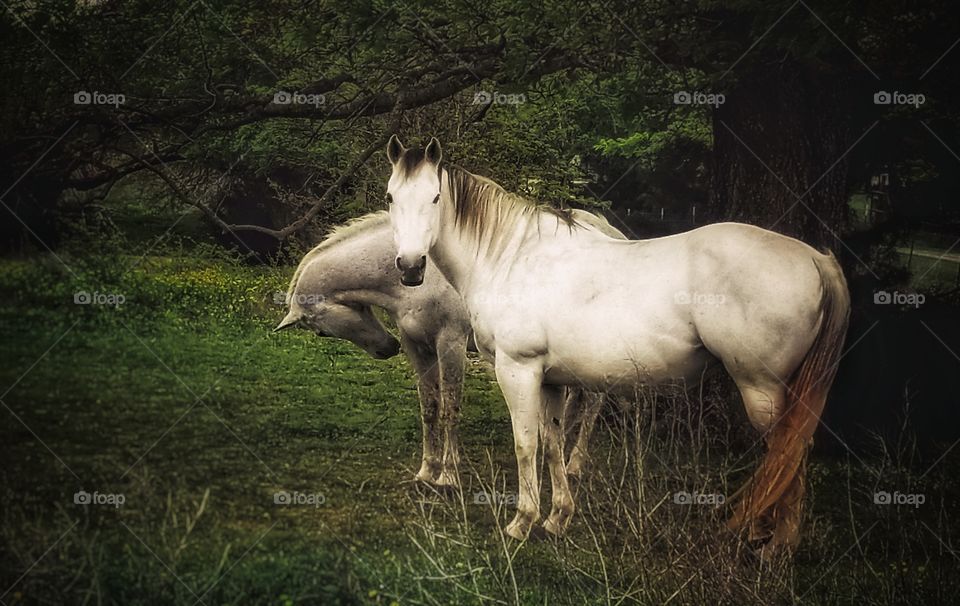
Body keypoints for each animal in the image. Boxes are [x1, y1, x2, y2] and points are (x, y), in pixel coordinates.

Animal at [274, 211, 628, 486]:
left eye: (320, 330)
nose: (387, 348)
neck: (419, 278)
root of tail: (612, 231)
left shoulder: (451, 344)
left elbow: (450, 408)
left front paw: (449, 474)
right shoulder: (418, 348)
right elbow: (429, 408)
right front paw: (426, 471)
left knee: (593, 403)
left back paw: (575, 464)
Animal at [382, 139, 848, 556]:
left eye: (435, 197)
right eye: (390, 196)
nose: (410, 267)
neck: (511, 257)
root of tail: (815, 259)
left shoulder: (518, 370)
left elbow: (525, 445)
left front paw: (522, 521)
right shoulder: (550, 381)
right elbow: (553, 443)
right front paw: (557, 518)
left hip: (761, 390)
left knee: (789, 453)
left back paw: (777, 547)